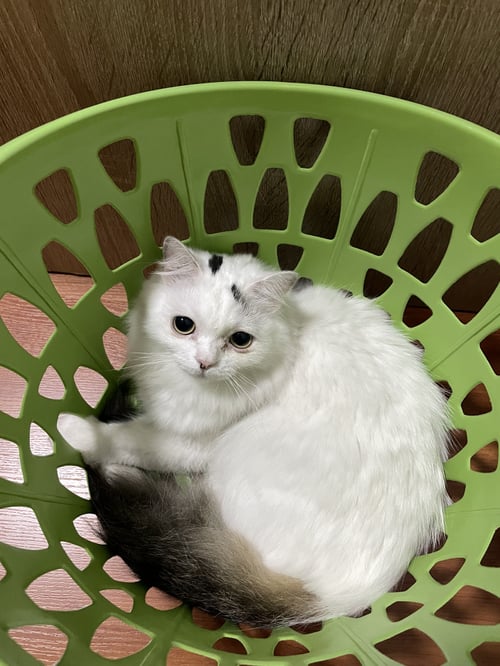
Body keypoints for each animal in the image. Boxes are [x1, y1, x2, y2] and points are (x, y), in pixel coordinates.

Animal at [59, 236, 450, 627]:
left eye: (240, 340)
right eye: (183, 325)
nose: (205, 363)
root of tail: (337, 597)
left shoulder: (188, 444)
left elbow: (129, 439)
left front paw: (75, 430)